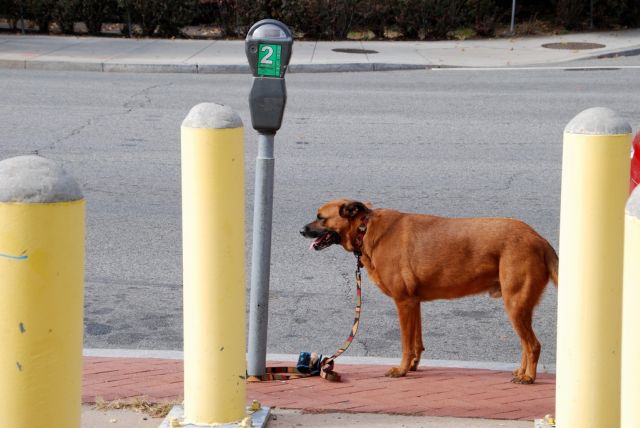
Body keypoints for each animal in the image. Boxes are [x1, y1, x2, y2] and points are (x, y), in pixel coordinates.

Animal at [300, 199, 558, 384]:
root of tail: (539, 239)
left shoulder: (403, 302)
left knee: (533, 345)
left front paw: (401, 370)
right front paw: (413, 366)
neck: (365, 228)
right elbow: (417, 342)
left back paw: (529, 377)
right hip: (520, 307)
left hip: (515, 305)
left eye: (320, 217)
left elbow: (406, 343)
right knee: (526, 344)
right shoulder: (414, 303)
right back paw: (522, 372)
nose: (301, 231)